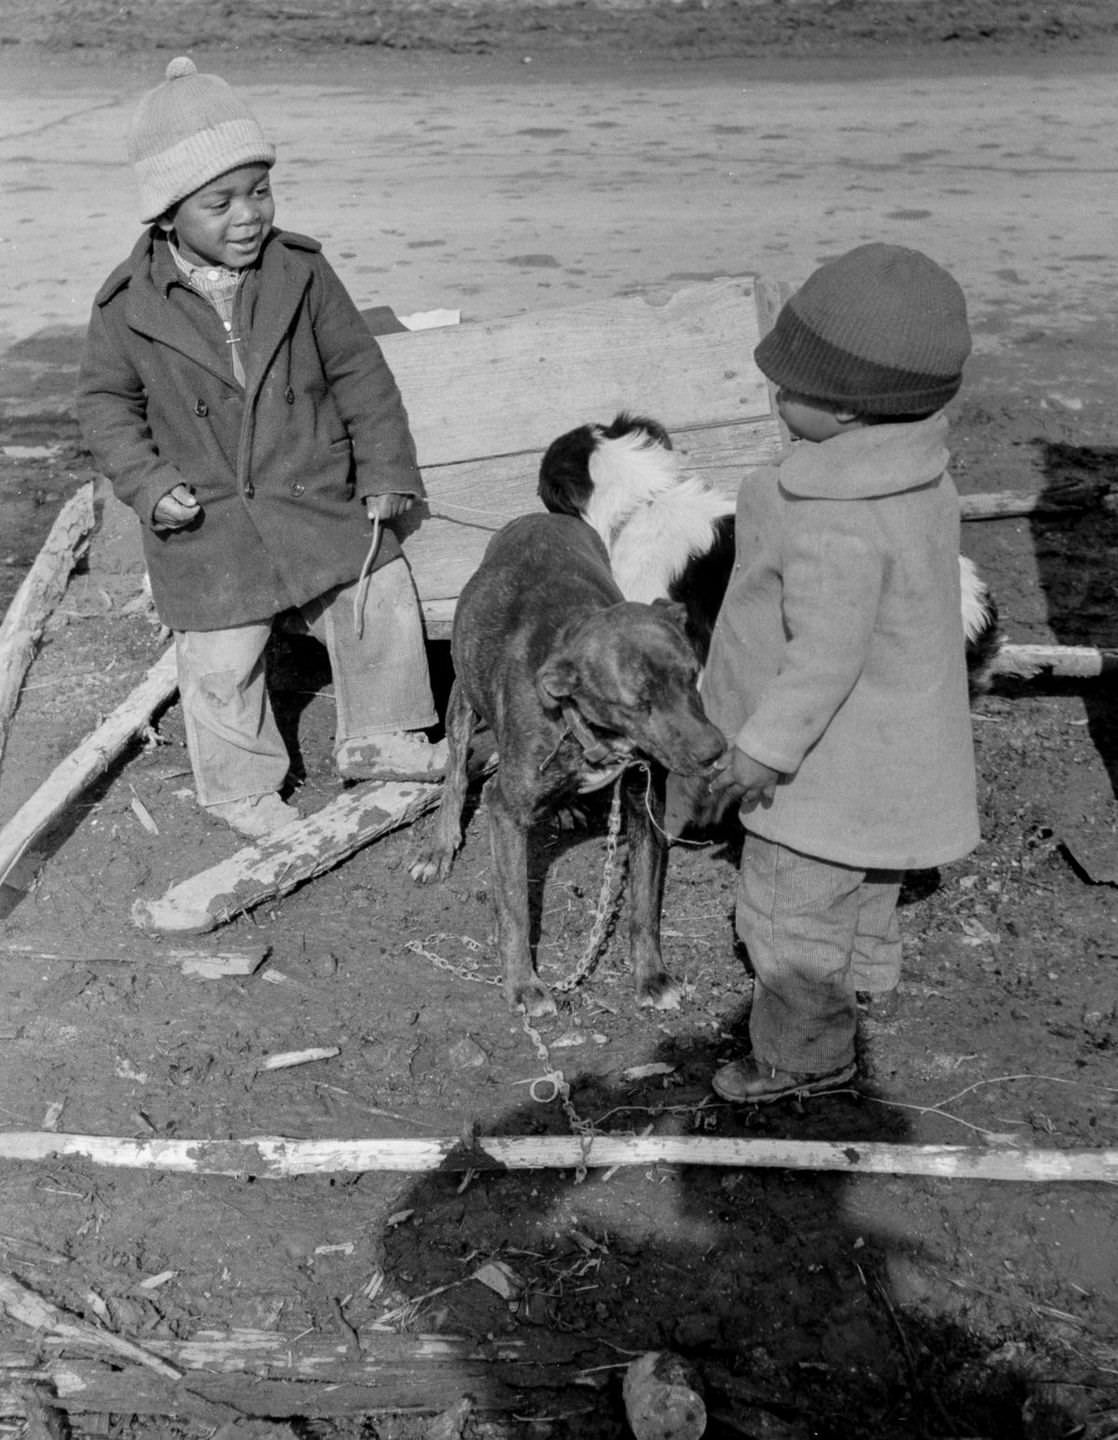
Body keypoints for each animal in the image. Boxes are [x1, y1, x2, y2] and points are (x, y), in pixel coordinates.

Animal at [409, 512, 726, 1019]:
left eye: (692, 674)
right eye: (637, 703)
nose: (714, 751)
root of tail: (537, 516)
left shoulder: (644, 806)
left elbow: (643, 907)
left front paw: (651, 976)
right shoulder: (504, 810)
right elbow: (515, 908)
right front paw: (523, 984)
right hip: (464, 693)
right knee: (456, 769)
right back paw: (439, 845)